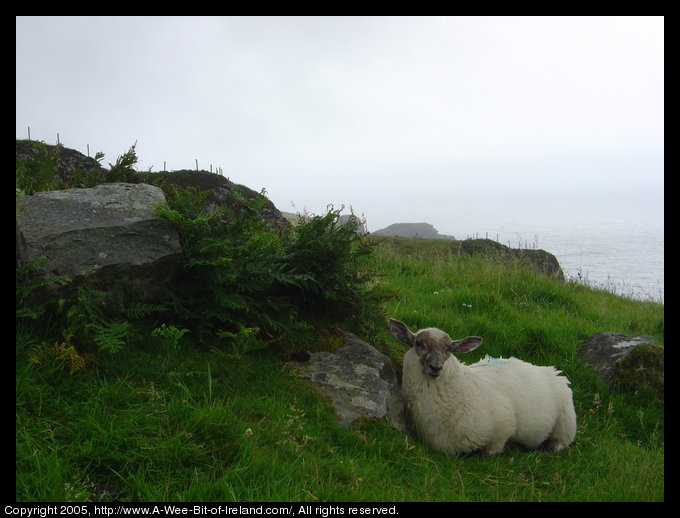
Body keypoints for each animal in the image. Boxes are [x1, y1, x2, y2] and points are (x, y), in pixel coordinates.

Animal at [388, 318, 572, 458]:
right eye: (419, 344)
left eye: (449, 349)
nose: (436, 367)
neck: (460, 387)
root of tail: (548, 369)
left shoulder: (502, 427)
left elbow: (491, 451)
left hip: (565, 422)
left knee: (562, 441)